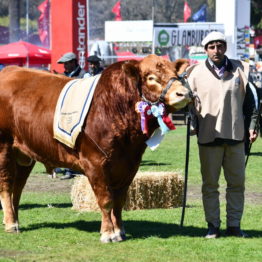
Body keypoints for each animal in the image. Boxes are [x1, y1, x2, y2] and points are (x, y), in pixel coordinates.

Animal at [0, 54, 190, 243]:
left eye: (176, 75)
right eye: (151, 78)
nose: (184, 93)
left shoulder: (129, 165)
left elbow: (119, 201)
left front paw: (120, 231)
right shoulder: (95, 162)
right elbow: (105, 200)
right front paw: (108, 233)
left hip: (24, 155)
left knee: (18, 188)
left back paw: (15, 220)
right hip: (4, 148)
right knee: (6, 185)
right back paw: (11, 224)